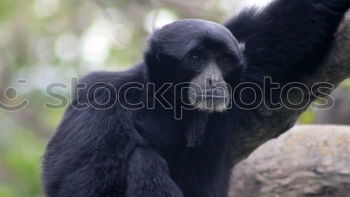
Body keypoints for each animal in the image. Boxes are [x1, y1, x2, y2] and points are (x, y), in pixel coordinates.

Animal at [43, 0, 350, 196]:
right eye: (197, 58)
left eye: (224, 61)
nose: (214, 79)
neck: (165, 101)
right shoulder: (98, 101)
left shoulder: (248, 60)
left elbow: (294, 23)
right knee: (143, 160)